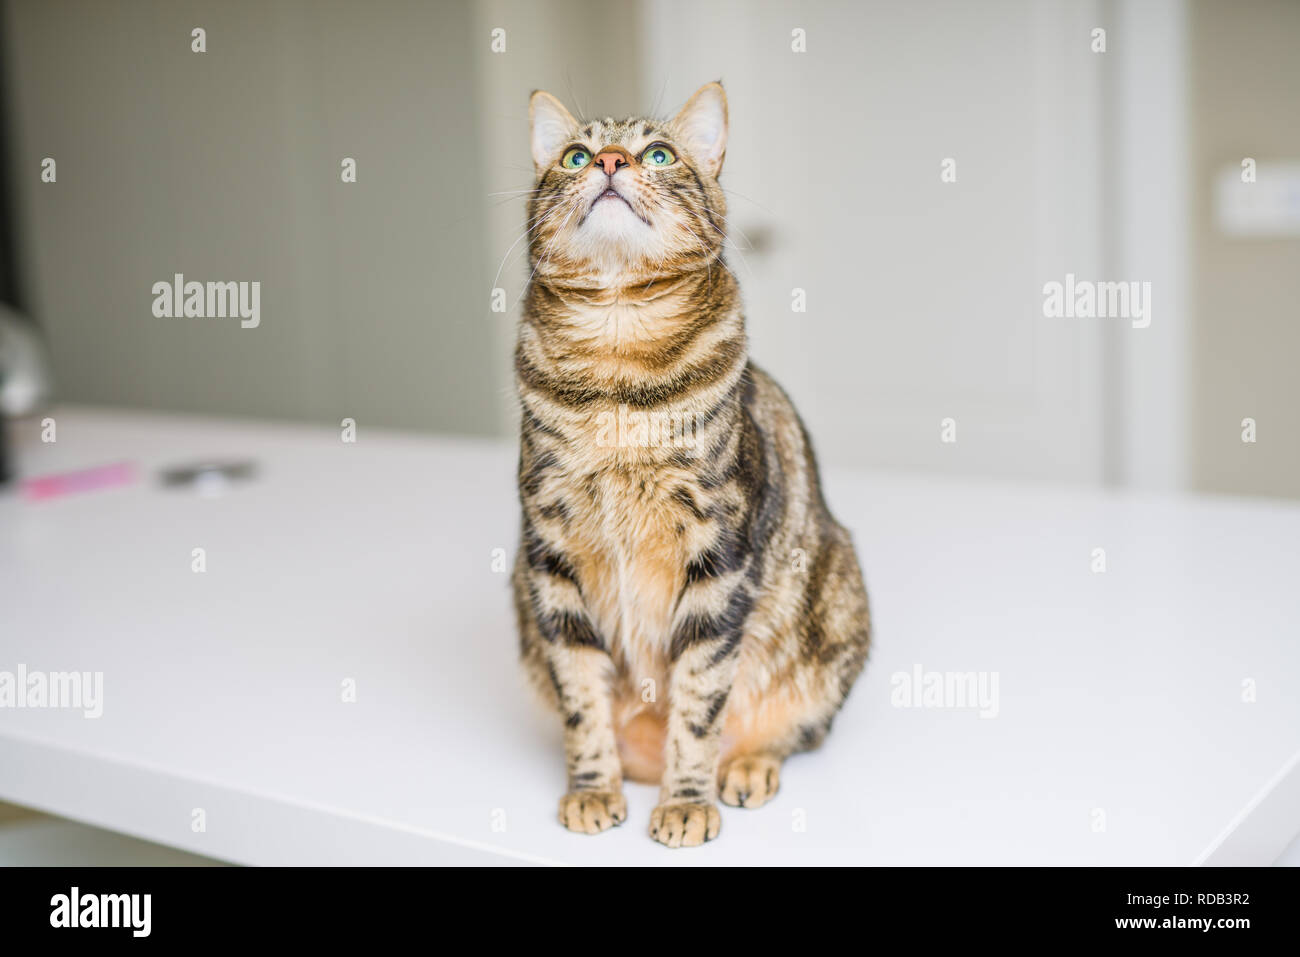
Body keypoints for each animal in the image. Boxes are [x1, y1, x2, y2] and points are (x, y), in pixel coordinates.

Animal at [512, 80, 868, 842]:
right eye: (575, 155)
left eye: (658, 153)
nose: (610, 160)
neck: (615, 369)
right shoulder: (550, 556)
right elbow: (581, 696)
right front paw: (592, 786)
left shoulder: (718, 554)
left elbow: (700, 703)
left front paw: (685, 801)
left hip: (836, 600)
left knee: (793, 729)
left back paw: (746, 768)